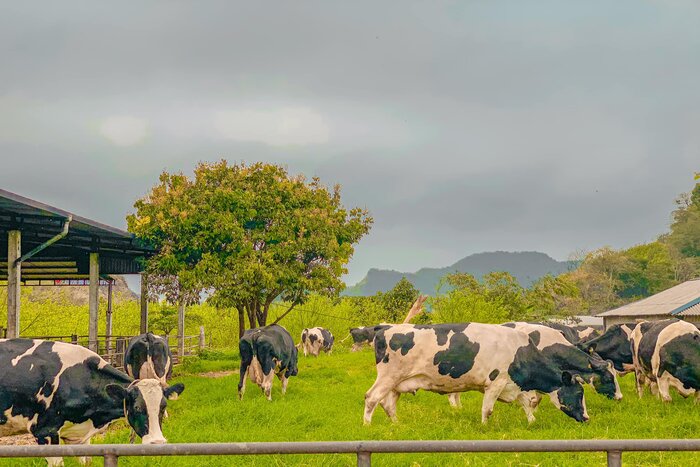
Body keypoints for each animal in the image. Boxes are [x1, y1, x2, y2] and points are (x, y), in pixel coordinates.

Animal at [364, 324, 588, 426]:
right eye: (579, 394)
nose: (586, 417)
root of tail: (386, 327)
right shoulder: (495, 382)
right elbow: (487, 409)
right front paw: (484, 428)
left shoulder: (514, 384)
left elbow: (527, 402)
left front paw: (532, 422)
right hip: (388, 377)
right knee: (372, 398)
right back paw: (367, 426)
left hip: (397, 383)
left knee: (388, 404)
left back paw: (397, 424)